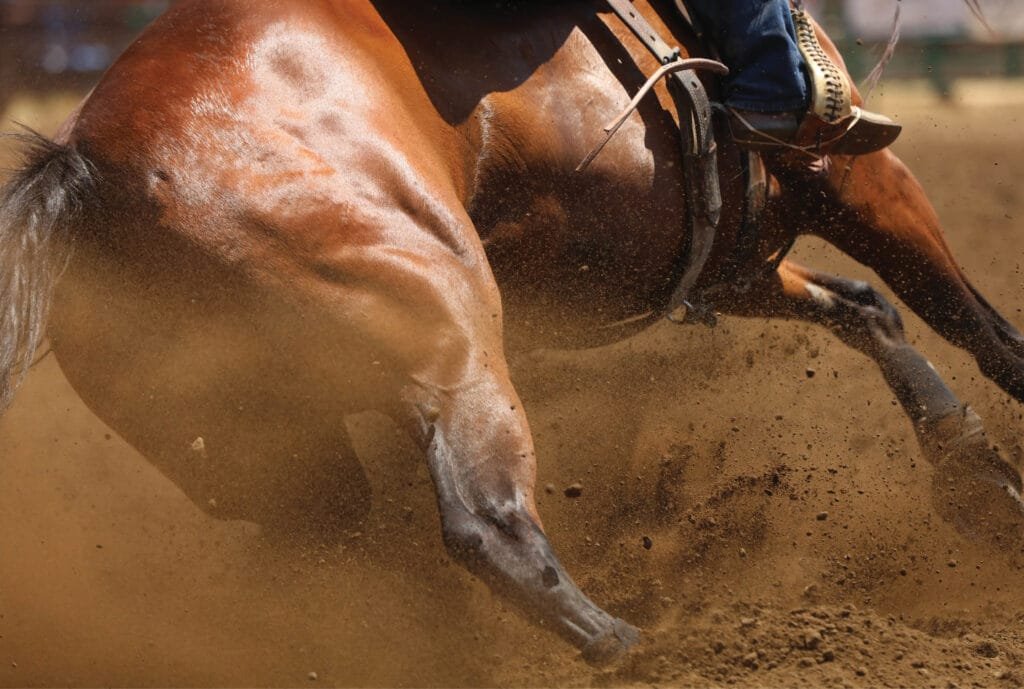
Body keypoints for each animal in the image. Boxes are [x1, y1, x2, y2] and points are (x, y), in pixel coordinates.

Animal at [2, 0, 1023, 664]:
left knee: (341, 542)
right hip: (451, 336)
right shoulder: (851, 174)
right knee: (484, 521)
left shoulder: (720, 254)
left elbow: (865, 308)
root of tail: (87, 171)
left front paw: (976, 474)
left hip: (256, 448)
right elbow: (971, 316)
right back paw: (629, 645)